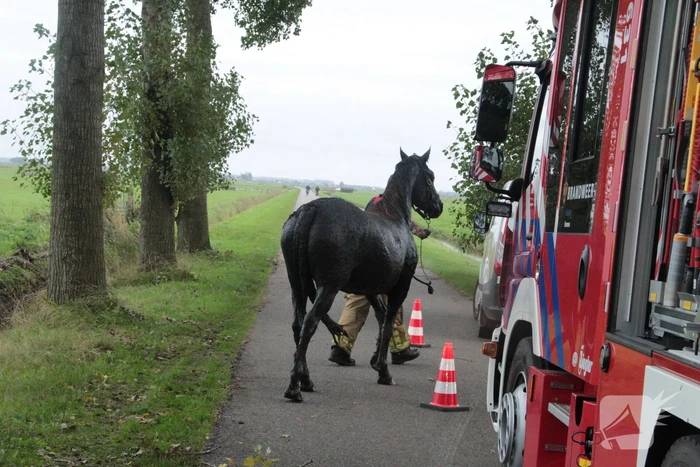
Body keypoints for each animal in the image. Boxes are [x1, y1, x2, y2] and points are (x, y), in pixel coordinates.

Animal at [280, 148, 443, 402]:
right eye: (430, 177)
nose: (438, 205)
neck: (394, 216)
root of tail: (310, 209)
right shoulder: (400, 288)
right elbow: (388, 323)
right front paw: (384, 372)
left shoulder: (370, 290)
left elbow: (381, 318)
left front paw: (377, 361)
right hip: (328, 287)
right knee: (310, 323)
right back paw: (295, 387)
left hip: (297, 284)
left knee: (298, 325)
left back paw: (306, 380)